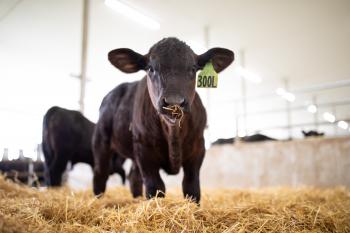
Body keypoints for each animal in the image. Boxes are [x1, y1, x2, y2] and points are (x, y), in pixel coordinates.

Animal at [93, 37, 235, 203]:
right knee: (100, 174)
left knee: (133, 176)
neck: (173, 134)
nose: (174, 102)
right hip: (101, 141)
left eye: (193, 68)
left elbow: (192, 187)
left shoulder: (198, 147)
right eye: (150, 68)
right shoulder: (144, 149)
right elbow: (155, 187)